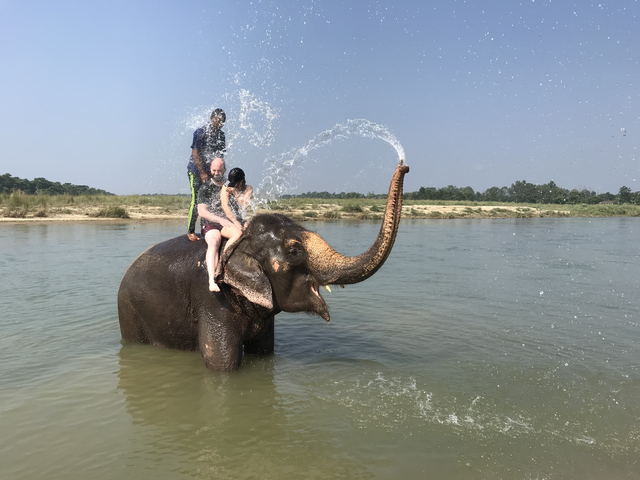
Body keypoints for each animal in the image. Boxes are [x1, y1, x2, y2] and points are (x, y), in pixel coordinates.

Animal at [117, 160, 409, 371]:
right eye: (294, 251)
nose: (404, 165)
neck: (240, 244)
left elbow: (265, 353)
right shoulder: (213, 302)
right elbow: (222, 365)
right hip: (129, 310)